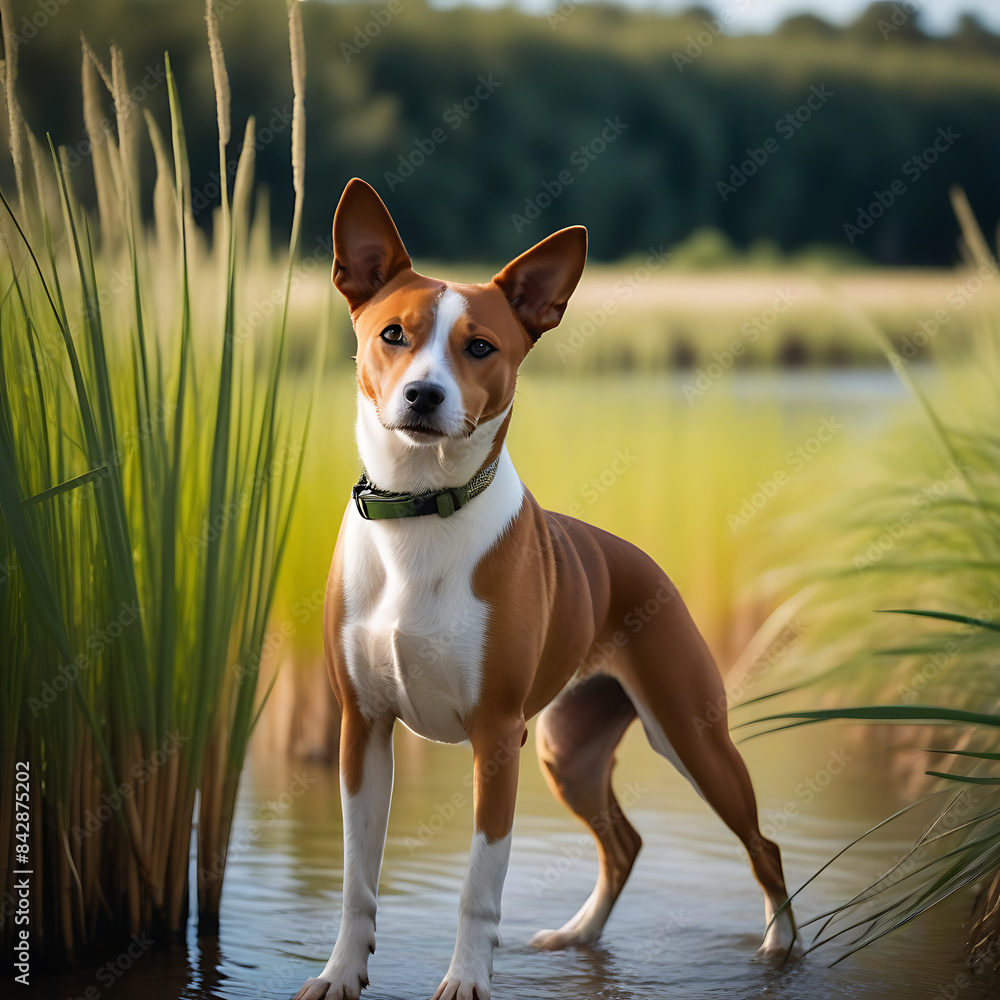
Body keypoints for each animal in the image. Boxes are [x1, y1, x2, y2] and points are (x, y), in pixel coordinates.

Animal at [292, 180, 800, 1000]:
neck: (421, 512)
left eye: (480, 346)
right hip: (571, 750)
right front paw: (339, 974)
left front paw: (466, 980)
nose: (423, 395)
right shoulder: (361, 728)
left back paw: (780, 944)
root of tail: (643, 561)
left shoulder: (496, 737)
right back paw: (577, 934)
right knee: (625, 842)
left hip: (691, 738)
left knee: (763, 844)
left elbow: (478, 887)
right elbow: (356, 881)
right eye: (393, 334)